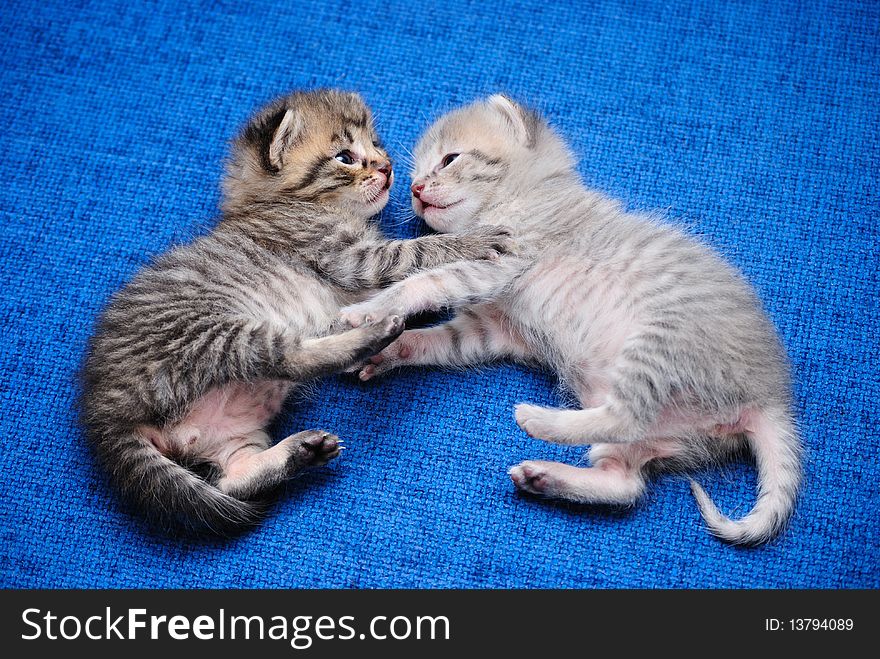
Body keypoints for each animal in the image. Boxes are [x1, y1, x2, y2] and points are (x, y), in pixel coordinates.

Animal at [82, 90, 512, 532]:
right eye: (345, 157)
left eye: (376, 144)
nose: (387, 167)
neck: (288, 203)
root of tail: (105, 412)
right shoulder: (352, 257)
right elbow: (415, 252)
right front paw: (474, 239)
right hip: (214, 334)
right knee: (289, 357)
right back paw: (369, 336)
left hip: (232, 431)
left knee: (234, 481)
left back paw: (301, 452)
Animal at [342, 94, 804, 548]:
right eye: (416, 174)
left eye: (449, 159)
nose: (416, 189)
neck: (523, 196)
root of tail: (770, 398)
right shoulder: (493, 328)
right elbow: (433, 339)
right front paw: (385, 348)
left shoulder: (502, 263)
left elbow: (427, 280)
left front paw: (369, 310)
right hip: (653, 433)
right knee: (624, 483)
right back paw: (543, 476)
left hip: (657, 344)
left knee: (624, 417)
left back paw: (537, 420)